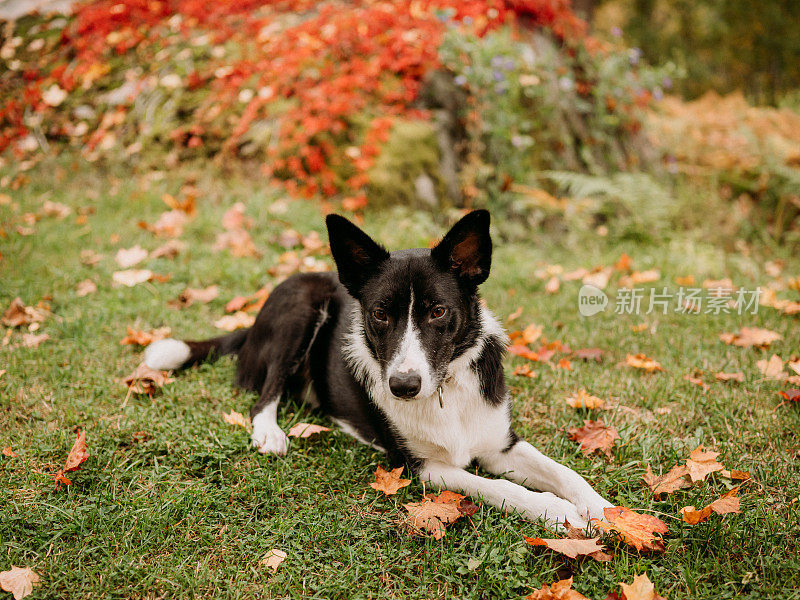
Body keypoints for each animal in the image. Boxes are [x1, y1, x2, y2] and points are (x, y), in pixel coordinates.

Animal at [147, 210, 612, 524]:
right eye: (380, 314)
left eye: (438, 310)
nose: (403, 386)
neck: (445, 391)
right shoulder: (422, 467)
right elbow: (497, 487)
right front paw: (557, 512)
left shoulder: (501, 445)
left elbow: (565, 472)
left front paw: (607, 513)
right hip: (302, 306)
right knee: (264, 394)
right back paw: (270, 433)